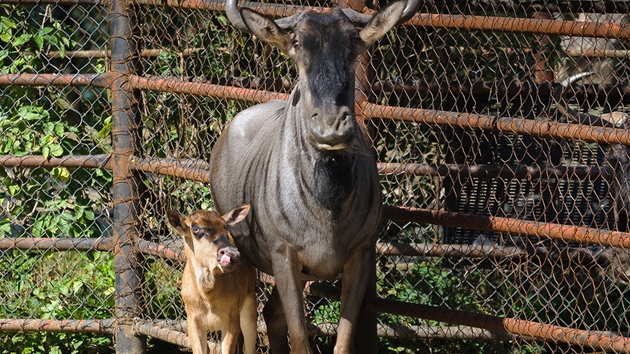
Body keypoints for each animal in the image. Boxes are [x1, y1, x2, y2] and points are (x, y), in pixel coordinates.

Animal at [168, 205, 260, 354]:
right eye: (195, 229)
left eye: (225, 226)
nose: (232, 253)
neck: (208, 296)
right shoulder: (193, 320)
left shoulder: (232, 318)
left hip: (249, 305)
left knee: (249, 347)